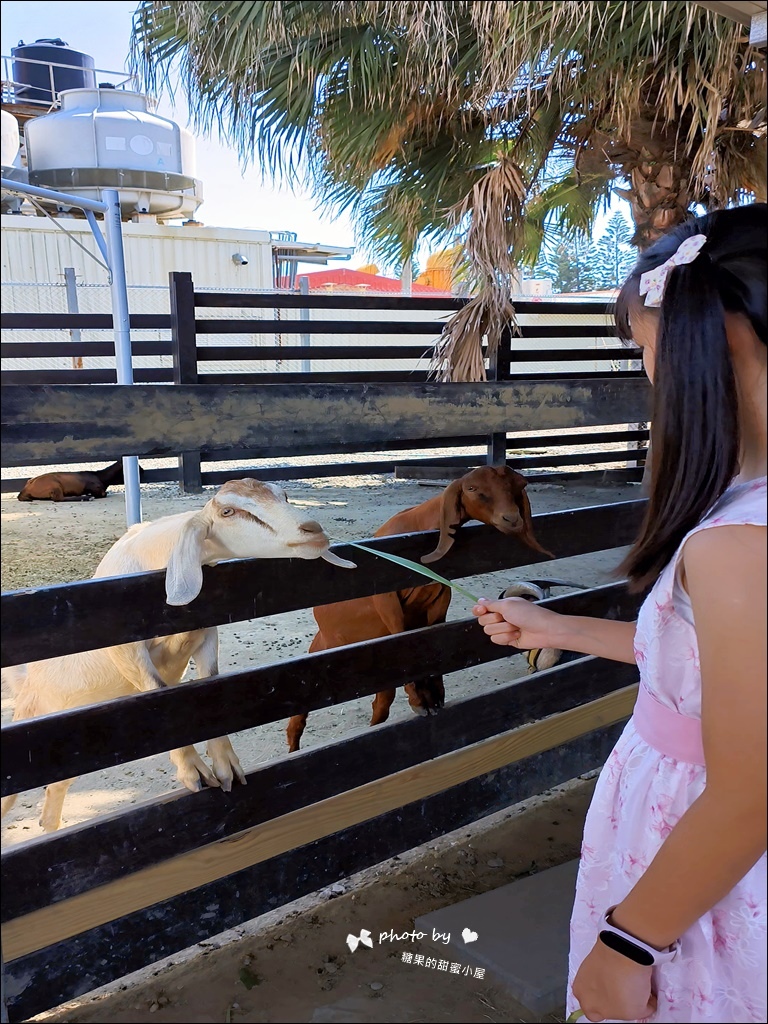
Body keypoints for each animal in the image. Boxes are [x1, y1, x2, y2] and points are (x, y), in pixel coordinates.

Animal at [1, 479, 356, 831]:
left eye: (283, 495)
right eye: (227, 511)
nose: (313, 531)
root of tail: (26, 684)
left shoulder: (205, 634)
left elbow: (208, 689)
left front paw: (226, 767)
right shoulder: (126, 650)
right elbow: (162, 700)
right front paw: (194, 771)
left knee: (56, 791)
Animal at [286, 466, 552, 753]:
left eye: (520, 484)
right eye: (471, 488)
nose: (511, 519)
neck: (416, 526)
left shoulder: (438, 598)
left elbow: (431, 645)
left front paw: (435, 697)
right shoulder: (386, 600)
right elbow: (404, 641)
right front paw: (420, 702)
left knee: (381, 703)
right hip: (322, 649)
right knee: (299, 716)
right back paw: (293, 748)